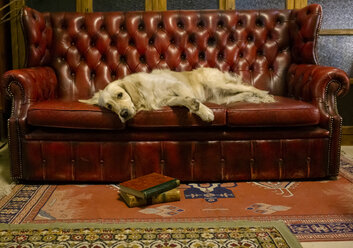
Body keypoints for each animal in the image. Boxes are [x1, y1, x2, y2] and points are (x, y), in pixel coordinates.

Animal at [80, 67, 276, 122]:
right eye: (109, 107)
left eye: (120, 95)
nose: (124, 114)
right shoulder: (169, 99)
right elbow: (183, 101)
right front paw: (194, 105)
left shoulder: (177, 85)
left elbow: (189, 99)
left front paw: (204, 111)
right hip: (224, 98)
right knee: (244, 93)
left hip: (218, 83)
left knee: (251, 88)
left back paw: (267, 96)